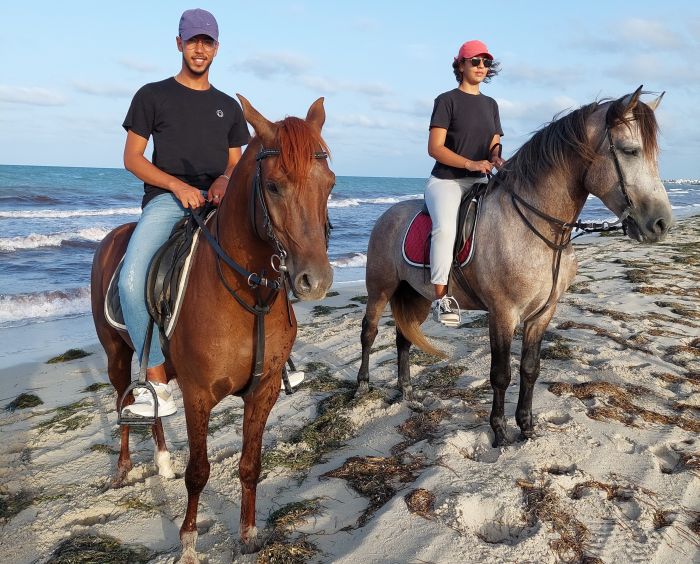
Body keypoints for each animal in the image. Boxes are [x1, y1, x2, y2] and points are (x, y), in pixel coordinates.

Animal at [89, 94, 334, 556]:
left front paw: (248, 534)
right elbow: (199, 471)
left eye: (329, 183)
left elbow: (250, 465)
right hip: (116, 353)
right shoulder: (198, 395)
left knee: (154, 398)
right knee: (122, 403)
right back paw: (124, 468)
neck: (248, 296)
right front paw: (187, 541)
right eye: (274, 186)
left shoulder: (263, 391)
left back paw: (162, 461)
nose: (316, 281)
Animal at [356, 88, 672, 448]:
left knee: (403, 338)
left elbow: (530, 369)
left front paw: (527, 427)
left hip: (418, 295)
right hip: (380, 289)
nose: (661, 224)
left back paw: (407, 391)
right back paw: (363, 385)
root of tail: (387, 215)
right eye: (630, 150)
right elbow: (500, 374)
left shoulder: (543, 312)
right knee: (369, 332)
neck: (538, 229)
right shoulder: (503, 313)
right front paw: (499, 432)